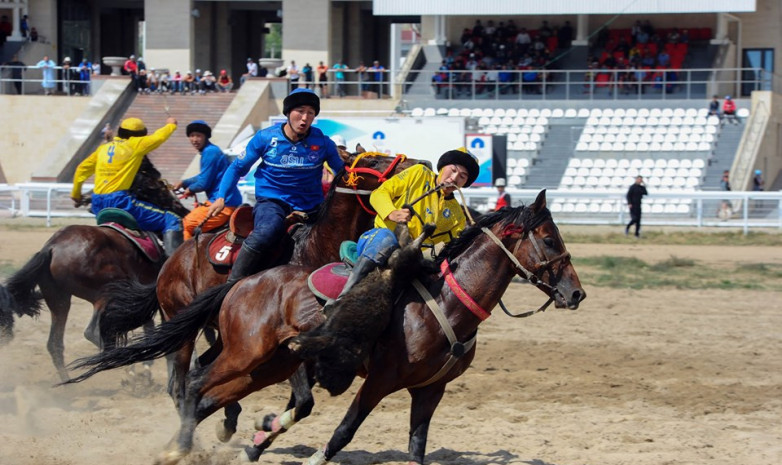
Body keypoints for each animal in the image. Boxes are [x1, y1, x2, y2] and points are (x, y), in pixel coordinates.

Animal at [0, 156, 188, 380]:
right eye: (158, 185)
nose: (182, 209)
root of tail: (52, 247)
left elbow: (146, 327)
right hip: (107, 292)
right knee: (94, 333)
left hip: (59, 300)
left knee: (55, 344)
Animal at [69, 189, 588, 464]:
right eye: (548, 237)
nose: (576, 294)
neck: (442, 304)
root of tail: (242, 282)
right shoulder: (379, 380)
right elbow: (343, 432)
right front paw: (304, 449)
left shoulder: (429, 390)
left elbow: (417, 446)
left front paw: (262, 434)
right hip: (245, 354)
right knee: (194, 383)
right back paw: (182, 447)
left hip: (267, 366)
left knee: (208, 396)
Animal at [94, 149, 422, 438]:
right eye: (372, 161)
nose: (420, 163)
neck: (313, 246)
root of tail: (171, 261)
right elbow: (302, 396)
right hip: (183, 325)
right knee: (179, 382)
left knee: (205, 366)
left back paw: (227, 419)